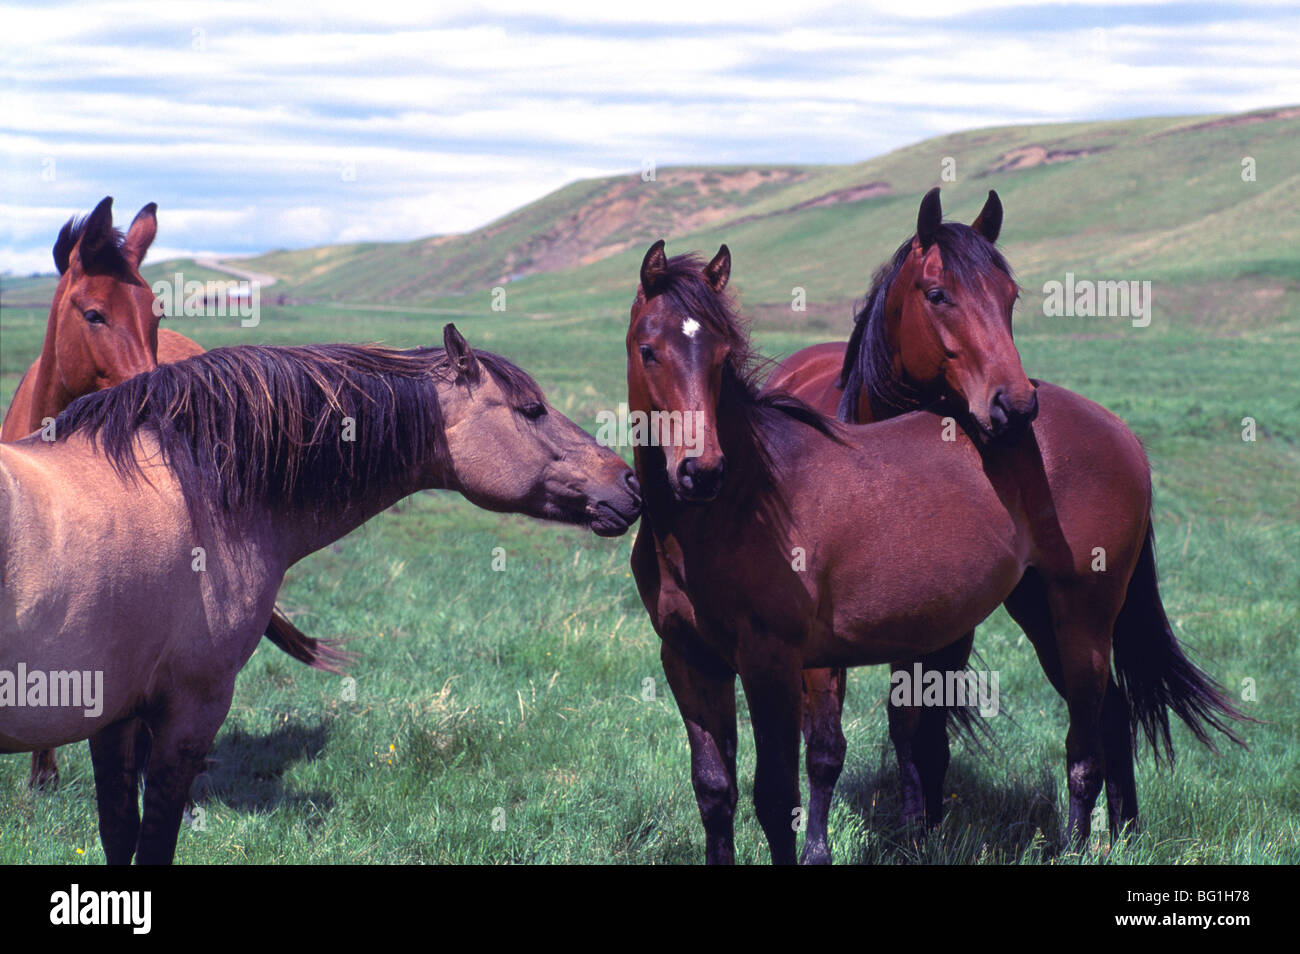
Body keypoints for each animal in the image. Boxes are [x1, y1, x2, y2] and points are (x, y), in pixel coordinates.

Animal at [0, 324, 644, 863]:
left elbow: (120, 832)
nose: (630, 482)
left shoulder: (114, 717)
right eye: (531, 409)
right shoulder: (188, 711)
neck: (198, 487)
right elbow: (153, 841)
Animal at [629, 240, 1248, 868]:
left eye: (723, 354)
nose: (700, 470)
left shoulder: (772, 663)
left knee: (1084, 746)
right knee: (1115, 716)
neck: (738, 505)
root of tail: (1120, 432)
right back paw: (1123, 836)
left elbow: (778, 798)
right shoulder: (689, 661)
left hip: (1084, 618)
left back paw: (1079, 845)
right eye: (648, 350)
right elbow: (714, 791)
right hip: (1041, 611)